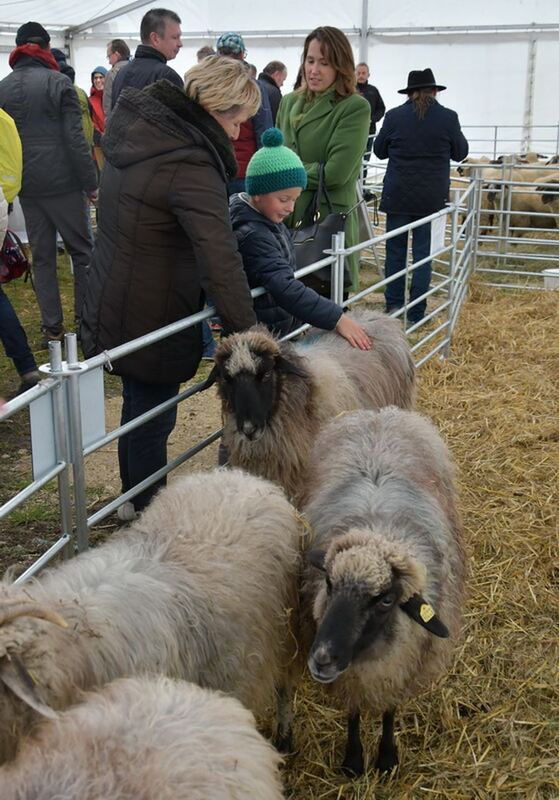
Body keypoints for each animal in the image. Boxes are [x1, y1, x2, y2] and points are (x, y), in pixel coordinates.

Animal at [302, 406, 468, 776]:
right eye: (329, 583)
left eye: (386, 600)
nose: (322, 659)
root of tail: (381, 413)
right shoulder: (352, 677)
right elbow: (353, 712)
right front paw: (352, 760)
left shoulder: (402, 666)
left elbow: (390, 711)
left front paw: (387, 757)